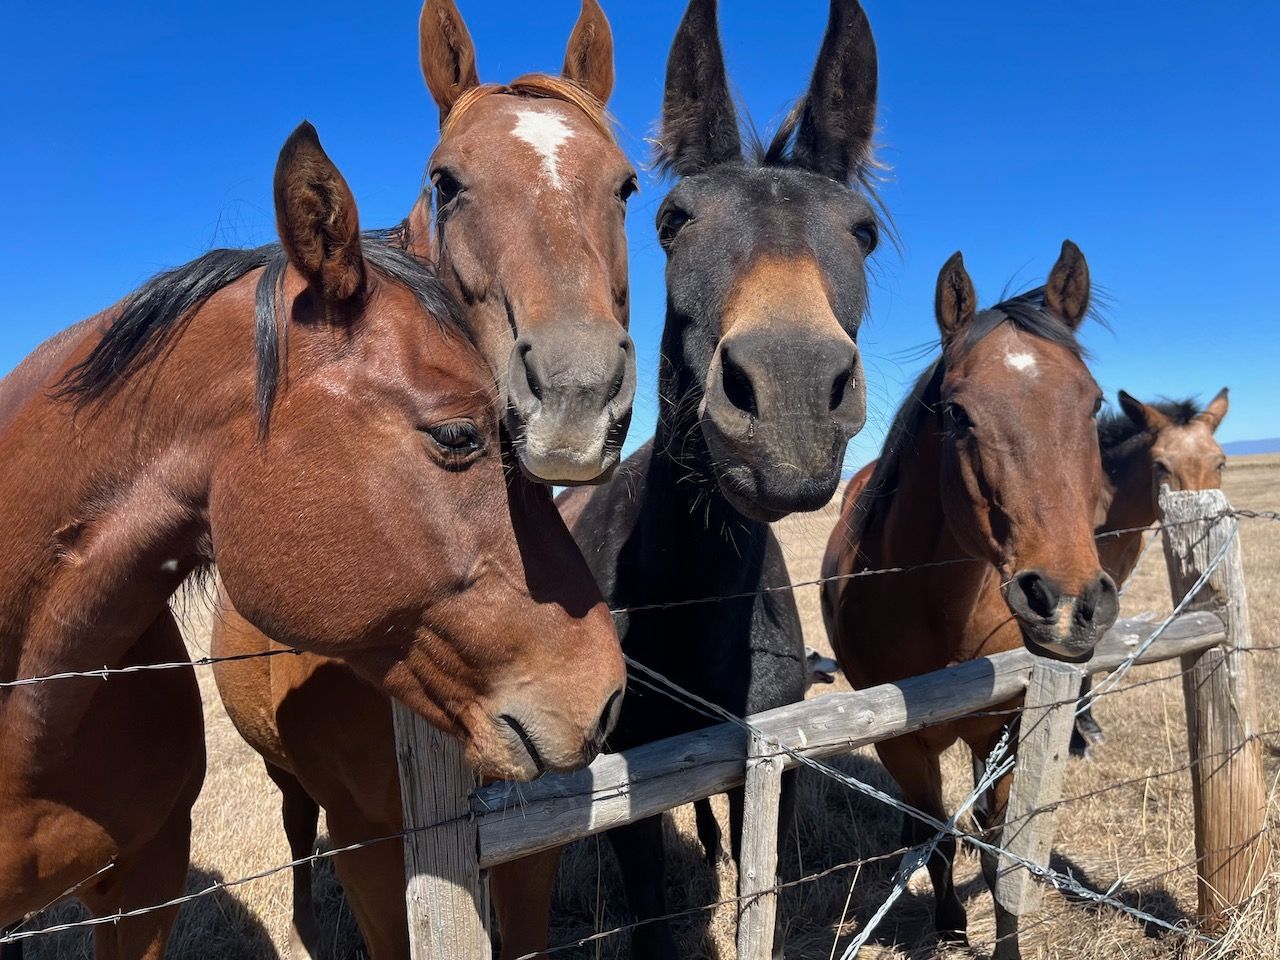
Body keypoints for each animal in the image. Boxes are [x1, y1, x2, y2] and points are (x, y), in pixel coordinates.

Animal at [209, 3, 634, 958]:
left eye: (627, 186)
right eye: (448, 181)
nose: (577, 395)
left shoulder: (531, 820)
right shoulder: (372, 839)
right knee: (294, 828)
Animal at [549, 1, 883, 954]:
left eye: (862, 231)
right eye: (672, 221)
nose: (793, 396)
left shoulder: (768, 767)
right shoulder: (627, 789)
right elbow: (653, 912)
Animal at [822, 243, 1118, 960]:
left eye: (1093, 403)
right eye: (957, 413)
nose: (1069, 603)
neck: (941, 615)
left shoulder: (1004, 729)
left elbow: (997, 846)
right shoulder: (905, 746)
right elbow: (942, 842)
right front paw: (952, 924)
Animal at [1071, 387, 1229, 755]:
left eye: (1220, 462)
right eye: (1160, 465)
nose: (1197, 525)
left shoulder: (1110, 584)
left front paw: (1088, 726)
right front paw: (1074, 740)